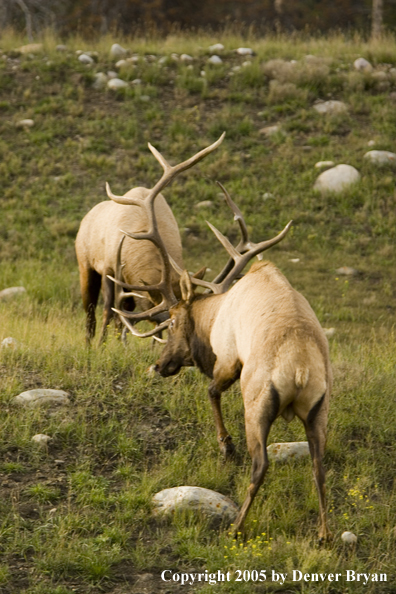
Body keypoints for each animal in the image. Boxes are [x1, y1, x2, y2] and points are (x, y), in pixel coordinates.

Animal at [74, 131, 223, 340]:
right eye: (172, 325)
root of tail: (86, 218)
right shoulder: (109, 268)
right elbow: (108, 310)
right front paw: (101, 344)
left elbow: (123, 315)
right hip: (85, 264)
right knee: (90, 310)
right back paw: (89, 341)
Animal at [110, 182, 332, 540]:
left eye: (173, 321)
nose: (159, 365)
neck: (215, 315)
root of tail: (299, 371)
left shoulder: (228, 357)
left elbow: (211, 390)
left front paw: (225, 445)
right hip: (319, 407)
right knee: (319, 466)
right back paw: (324, 533)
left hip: (256, 401)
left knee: (261, 464)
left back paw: (236, 526)